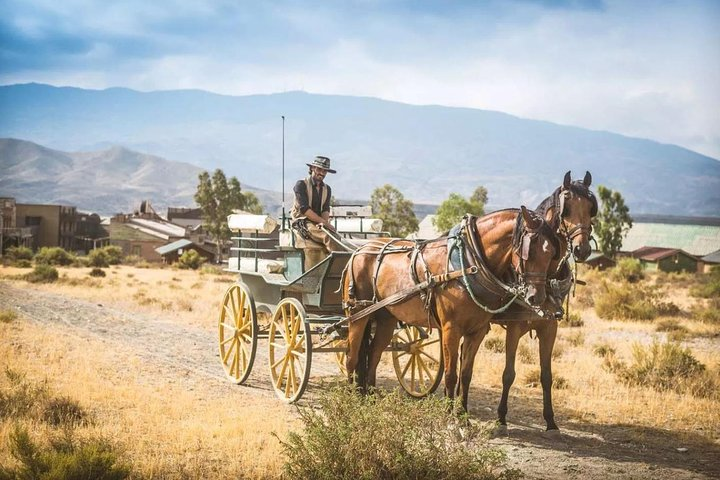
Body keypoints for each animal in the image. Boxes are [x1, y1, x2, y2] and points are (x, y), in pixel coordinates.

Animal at [341, 206, 561, 412]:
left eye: (552, 253)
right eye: (529, 251)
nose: (537, 297)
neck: (468, 265)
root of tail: (359, 250)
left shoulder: (477, 331)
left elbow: (465, 374)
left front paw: (462, 415)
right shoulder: (450, 329)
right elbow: (450, 375)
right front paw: (449, 415)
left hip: (386, 318)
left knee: (373, 355)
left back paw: (369, 399)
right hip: (357, 314)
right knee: (352, 357)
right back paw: (350, 399)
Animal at [491, 171, 597, 432]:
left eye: (591, 207)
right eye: (566, 208)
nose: (582, 249)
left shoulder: (550, 328)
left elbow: (547, 375)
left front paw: (550, 420)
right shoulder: (514, 328)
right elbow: (508, 373)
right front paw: (501, 416)